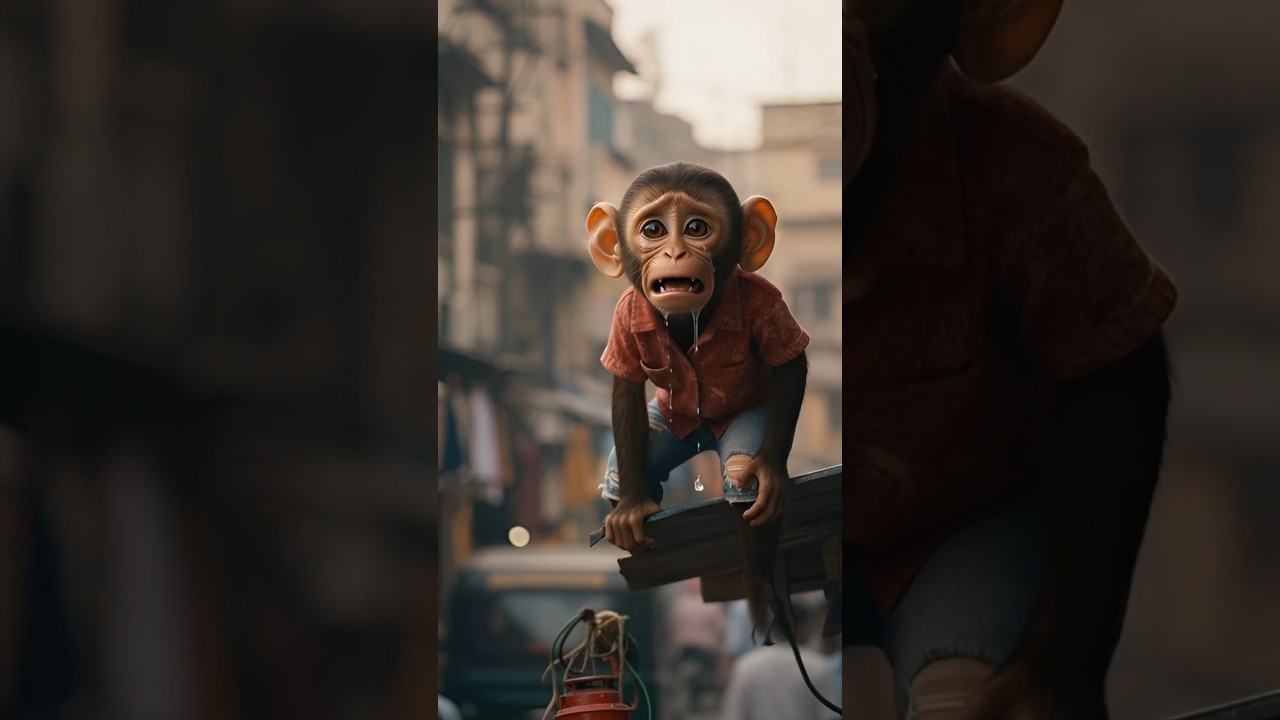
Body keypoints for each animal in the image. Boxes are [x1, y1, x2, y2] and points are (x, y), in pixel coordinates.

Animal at [586, 162, 810, 636]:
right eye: (653, 229)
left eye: (696, 228)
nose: (673, 253)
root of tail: (703, 435)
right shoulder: (625, 313)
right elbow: (625, 386)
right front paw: (631, 509)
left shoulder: (765, 301)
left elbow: (789, 364)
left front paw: (770, 472)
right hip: (669, 423)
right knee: (617, 472)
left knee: (742, 478)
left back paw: (761, 593)